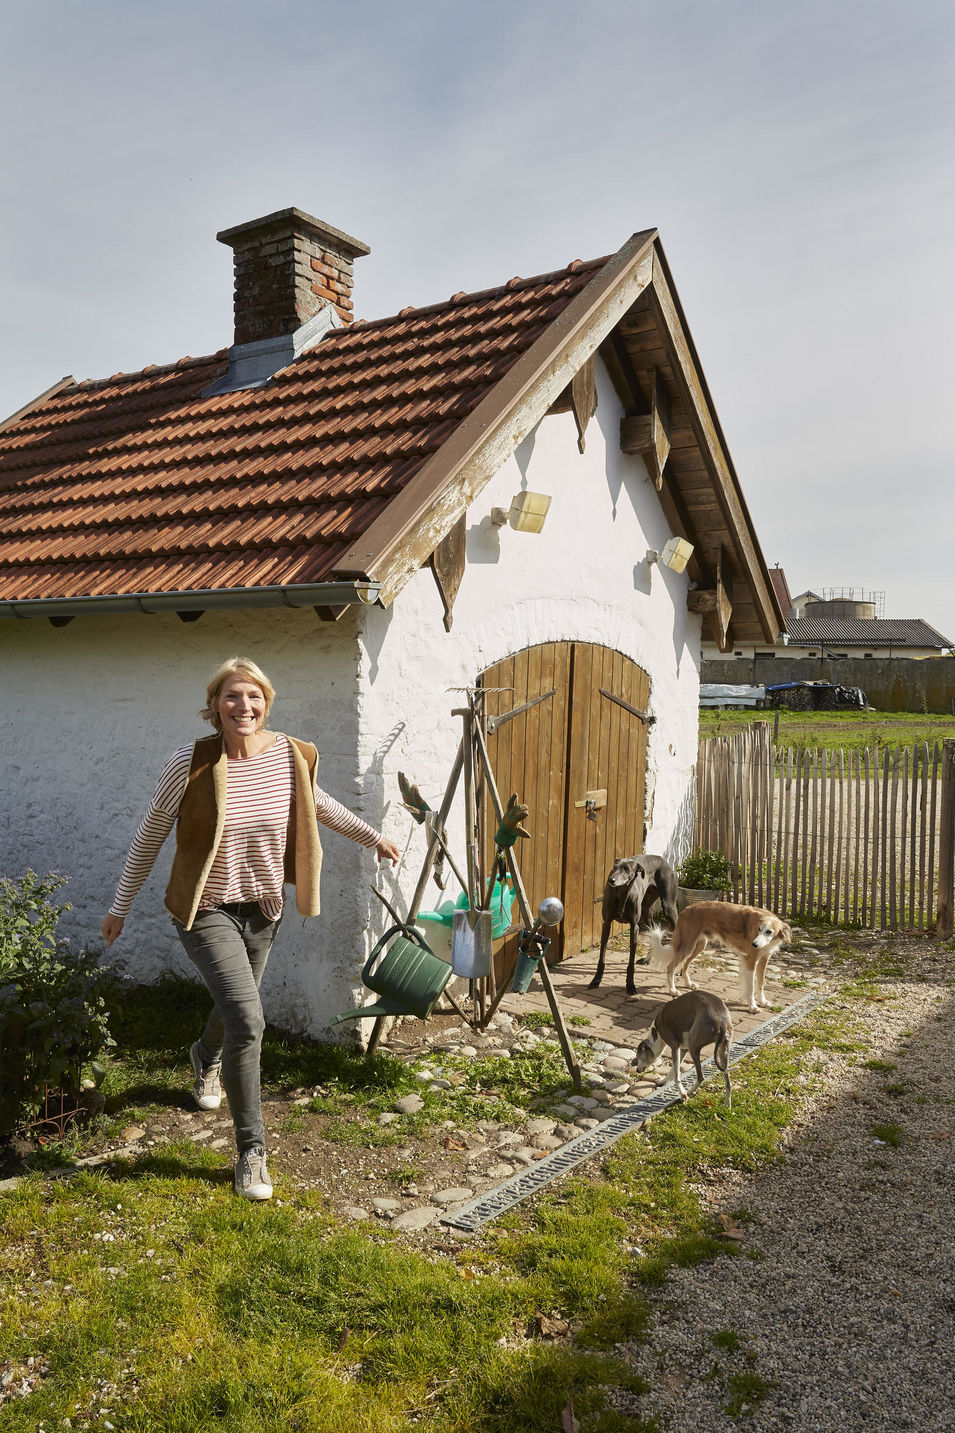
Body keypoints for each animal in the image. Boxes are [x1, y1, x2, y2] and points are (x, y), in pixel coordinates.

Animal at [642, 899, 791, 1014]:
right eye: (759, 929)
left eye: (769, 932)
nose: (754, 944)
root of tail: (686, 909)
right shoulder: (751, 960)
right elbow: (751, 987)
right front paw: (753, 1007)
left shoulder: (764, 958)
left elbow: (760, 983)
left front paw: (763, 1001)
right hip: (687, 946)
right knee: (670, 967)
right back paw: (673, 991)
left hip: (699, 946)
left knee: (684, 966)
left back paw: (689, 984)